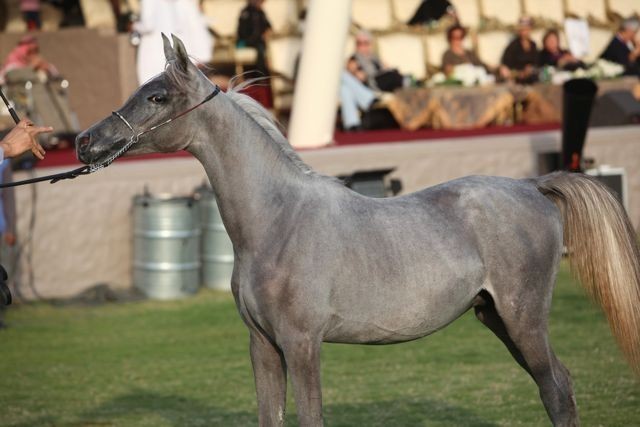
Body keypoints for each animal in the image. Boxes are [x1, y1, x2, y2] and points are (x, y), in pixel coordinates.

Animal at [75, 35, 640, 427]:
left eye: (157, 97)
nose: (85, 141)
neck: (278, 220)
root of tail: (532, 185)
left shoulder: (303, 344)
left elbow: (311, 417)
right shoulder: (263, 346)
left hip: (524, 320)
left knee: (557, 390)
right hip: (496, 318)